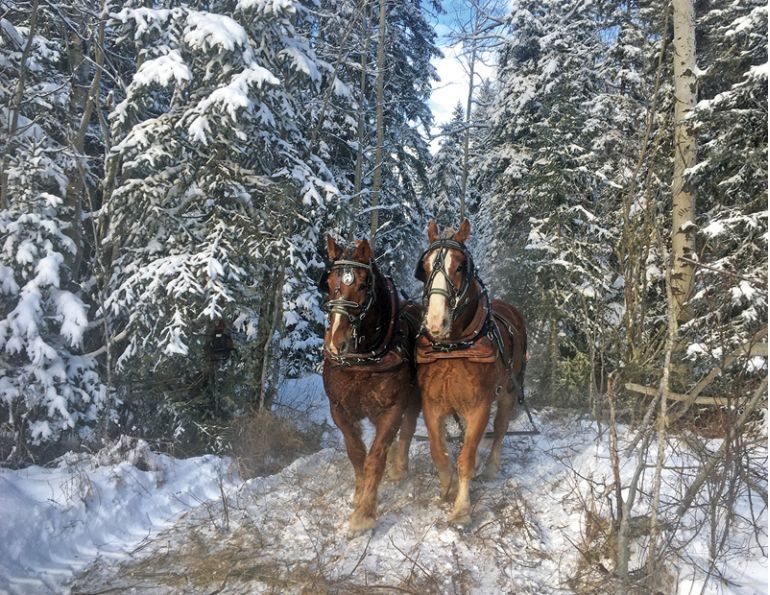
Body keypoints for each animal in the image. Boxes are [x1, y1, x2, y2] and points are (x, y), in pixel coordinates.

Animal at [319, 235, 422, 534]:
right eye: (329, 282)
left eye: (364, 285)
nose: (336, 343)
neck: (362, 361)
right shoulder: (340, 410)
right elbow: (357, 454)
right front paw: (359, 492)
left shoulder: (392, 409)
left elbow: (376, 457)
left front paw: (364, 514)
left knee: (408, 430)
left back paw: (399, 467)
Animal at [413, 219, 527, 526]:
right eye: (425, 266)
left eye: (460, 266)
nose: (436, 322)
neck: (453, 348)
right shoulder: (432, 405)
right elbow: (439, 452)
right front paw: (448, 487)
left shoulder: (479, 406)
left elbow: (465, 456)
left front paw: (462, 509)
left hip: (509, 391)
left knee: (500, 428)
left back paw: (490, 466)